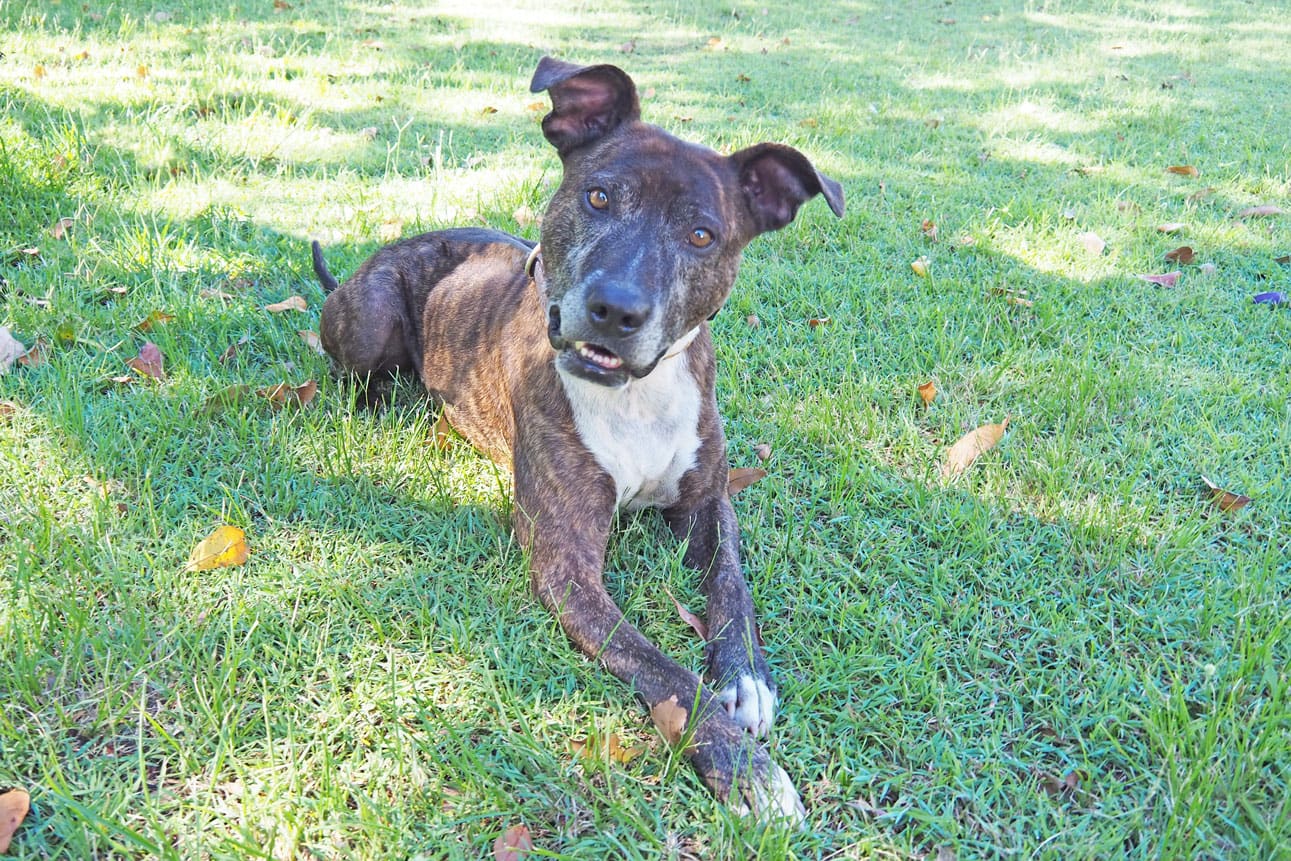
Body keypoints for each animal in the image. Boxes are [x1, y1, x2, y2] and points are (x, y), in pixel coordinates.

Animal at [312, 56, 844, 821]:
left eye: (703, 235)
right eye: (597, 196)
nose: (615, 309)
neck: (634, 396)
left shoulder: (707, 502)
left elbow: (731, 584)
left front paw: (744, 676)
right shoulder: (567, 566)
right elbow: (662, 666)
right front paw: (743, 768)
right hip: (370, 317)